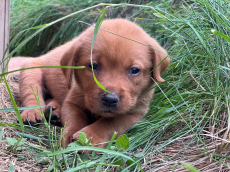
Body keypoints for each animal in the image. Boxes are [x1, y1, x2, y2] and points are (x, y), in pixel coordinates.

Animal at [9, 18, 170, 148]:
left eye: (135, 70)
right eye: (93, 66)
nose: (110, 99)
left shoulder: (134, 112)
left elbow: (109, 124)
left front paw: (89, 137)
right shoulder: (72, 102)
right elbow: (76, 118)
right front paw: (70, 135)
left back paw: (54, 111)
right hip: (31, 70)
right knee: (32, 94)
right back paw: (32, 113)